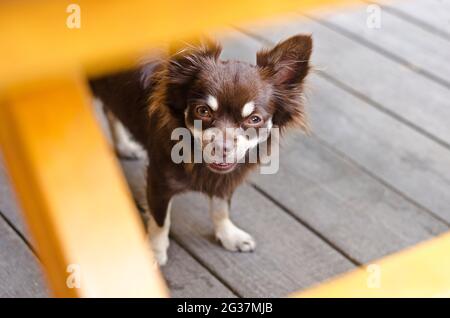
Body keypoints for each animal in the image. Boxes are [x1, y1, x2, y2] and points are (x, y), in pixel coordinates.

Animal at [89, 33, 312, 264]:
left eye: (254, 119)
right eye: (203, 111)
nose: (222, 147)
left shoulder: (224, 180)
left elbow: (221, 208)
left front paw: (228, 235)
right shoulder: (158, 181)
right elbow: (160, 221)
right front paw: (155, 252)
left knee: (109, 110)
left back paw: (123, 146)